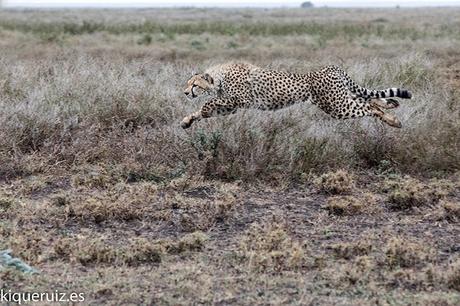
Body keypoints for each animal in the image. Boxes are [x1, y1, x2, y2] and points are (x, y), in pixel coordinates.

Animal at [181, 62, 412, 129]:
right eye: (188, 83)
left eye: (194, 85)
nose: (185, 92)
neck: (219, 77)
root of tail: (331, 68)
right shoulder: (232, 106)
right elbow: (206, 110)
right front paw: (187, 121)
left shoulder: (239, 100)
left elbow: (208, 103)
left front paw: (195, 114)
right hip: (340, 98)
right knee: (371, 99)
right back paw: (392, 108)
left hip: (337, 105)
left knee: (370, 106)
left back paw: (393, 120)